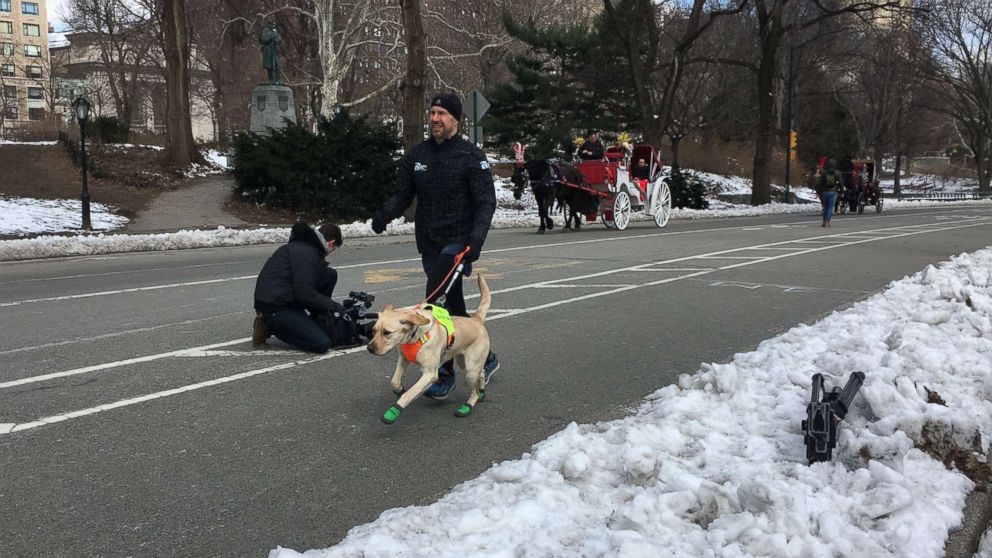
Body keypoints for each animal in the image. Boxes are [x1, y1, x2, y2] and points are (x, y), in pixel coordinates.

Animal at [368, 276, 492, 424]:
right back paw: (483, 393)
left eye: (387, 333)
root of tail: (476, 319)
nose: (369, 348)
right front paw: (399, 389)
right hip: (464, 363)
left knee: (474, 391)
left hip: (471, 370)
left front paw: (394, 410)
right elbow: (394, 381)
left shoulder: (429, 373)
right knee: (482, 373)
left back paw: (468, 405)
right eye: (373, 330)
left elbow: (409, 394)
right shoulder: (403, 359)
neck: (415, 335)